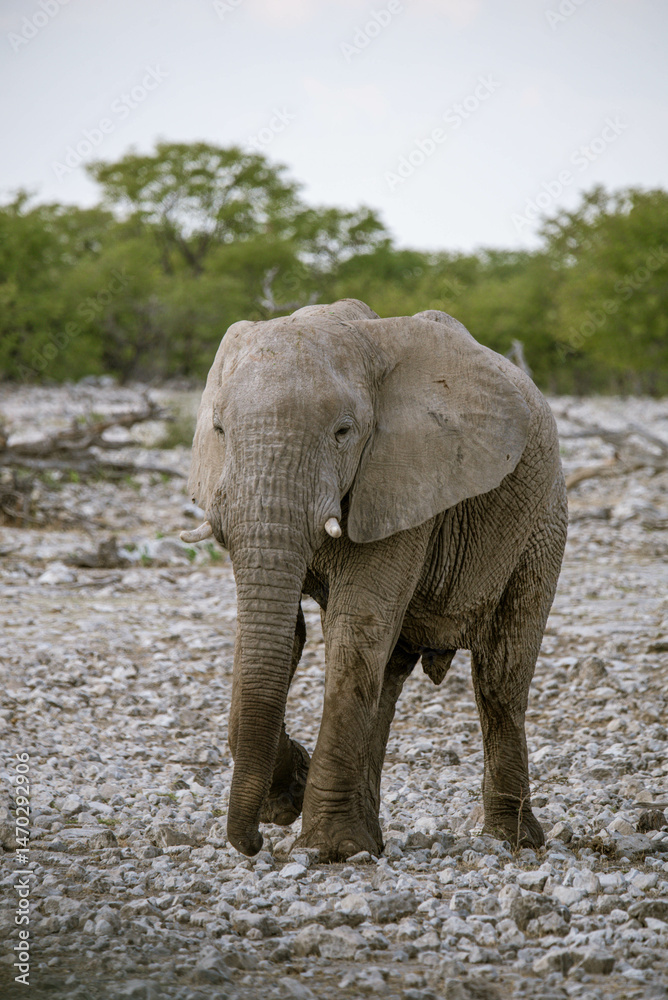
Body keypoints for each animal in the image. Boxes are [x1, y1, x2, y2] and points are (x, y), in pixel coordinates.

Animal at [184, 298, 567, 861]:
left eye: (343, 432)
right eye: (220, 431)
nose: (252, 842)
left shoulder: (403, 479)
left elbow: (356, 625)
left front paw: (327, 849)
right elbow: (286, 633)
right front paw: (293, 801)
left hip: (543, 522)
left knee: (500, 678)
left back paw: (510, 840)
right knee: (388, 675)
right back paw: (371, 838)